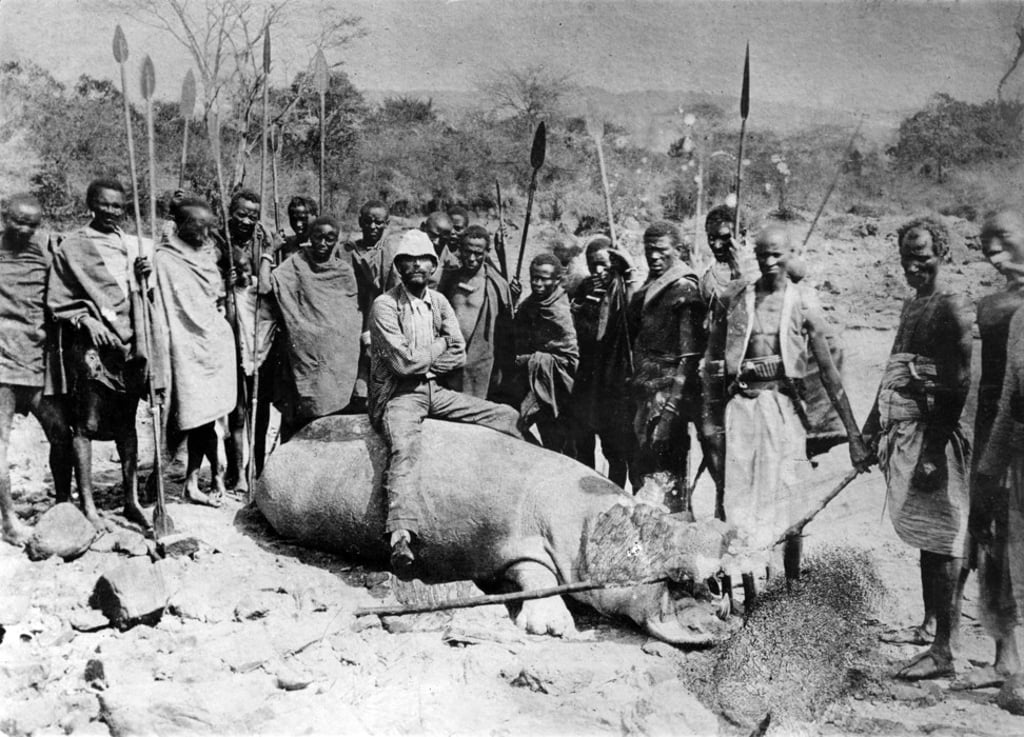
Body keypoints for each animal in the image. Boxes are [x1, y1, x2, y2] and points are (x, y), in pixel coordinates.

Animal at [255, 415, 737, 645]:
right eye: (646, 528)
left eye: (667, 516)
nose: (718, 534)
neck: (592, 525)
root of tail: (280, 448)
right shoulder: (518, 547)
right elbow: (537, 576)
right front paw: (554, 629)